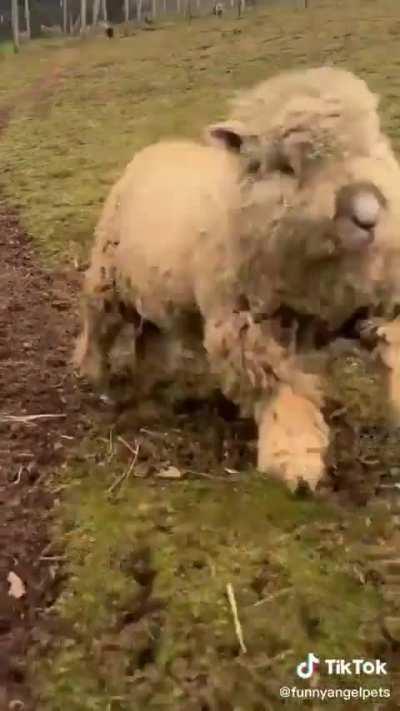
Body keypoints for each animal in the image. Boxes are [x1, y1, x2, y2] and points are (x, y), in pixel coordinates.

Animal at [74, 66, 400, 492]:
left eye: (370, 144)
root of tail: (159, 147)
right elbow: (281, 391)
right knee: (98, 325)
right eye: (286, 166)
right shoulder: (246, 325)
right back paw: (95, 376)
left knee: (151, 336)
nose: (368, 216)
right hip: (108, 279)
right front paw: (294, 460)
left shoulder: (368, 304)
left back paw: (153, 388)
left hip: (158, 293)